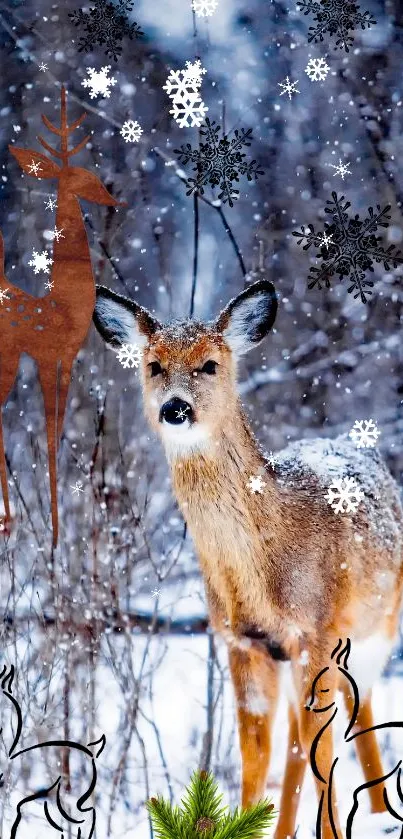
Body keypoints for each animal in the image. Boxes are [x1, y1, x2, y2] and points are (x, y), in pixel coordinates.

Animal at [0, 85, 124, 544]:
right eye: (86, 178)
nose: (113, 197)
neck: (63, 304)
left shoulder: (65, 359)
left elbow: (55, 431)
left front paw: (54, 534)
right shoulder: (47, 357)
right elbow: (51, 435)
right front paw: (53, 539)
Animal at [92, 278, 403, 836]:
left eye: (211, 364)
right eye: (154, 365)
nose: (175, 408)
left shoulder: (316, 632)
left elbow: (318, 750)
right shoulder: (242, 641)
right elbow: (255, 754)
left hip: (378, 628)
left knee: (353, 716)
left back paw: (374, 812)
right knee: (318, 729)